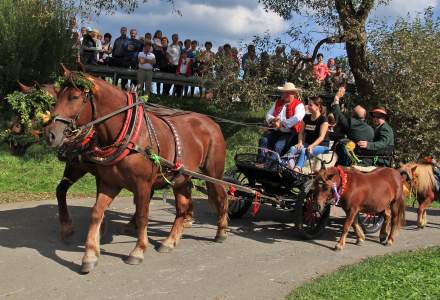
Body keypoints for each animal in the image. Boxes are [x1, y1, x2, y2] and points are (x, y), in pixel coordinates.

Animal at [44, 67, 229, 274]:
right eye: (57, 95)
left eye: (74, 97)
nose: (51, 134)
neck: (130, 135)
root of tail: (212, 122)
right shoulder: (108, 182)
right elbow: (96, 212)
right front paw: (90, 254)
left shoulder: (143, 185)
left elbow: (142, 215)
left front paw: (138, 250)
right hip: (181, 177)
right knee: (182, 207)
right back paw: (170, 240)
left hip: (213, 173)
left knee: (221, 197)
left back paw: (221, 231)